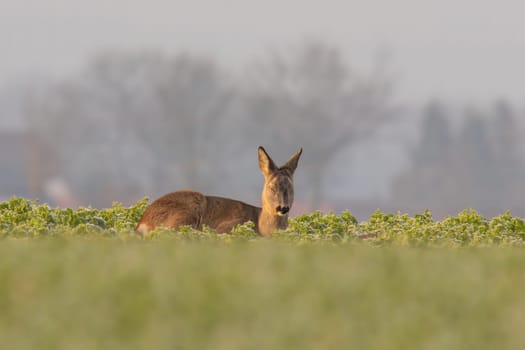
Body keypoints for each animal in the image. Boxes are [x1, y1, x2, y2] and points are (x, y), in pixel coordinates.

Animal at [135, 146, 300, 237]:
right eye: (271, 187)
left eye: (291, 187)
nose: (282, 208)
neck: (261, 225)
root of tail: (142, 223)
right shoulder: (228, 226)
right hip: (188, 209)